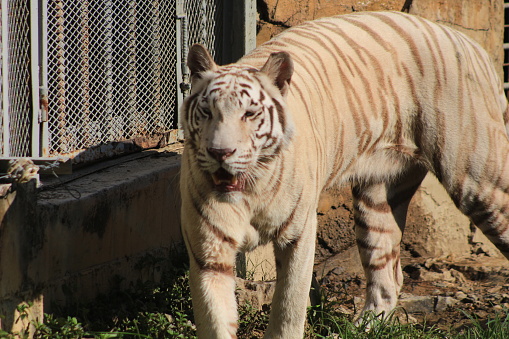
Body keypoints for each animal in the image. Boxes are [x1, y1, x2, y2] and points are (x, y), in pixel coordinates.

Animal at [179, 10, 508, 339]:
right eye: (207, 112)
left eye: (249, 114)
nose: (220, 152)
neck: (251, 189)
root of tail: (471, 44)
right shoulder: (209, 247)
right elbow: (214, 316)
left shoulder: (298, 233)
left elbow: (289, 305)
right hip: (377, 199)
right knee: (388, 277)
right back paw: (365, 326)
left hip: (479, 180)